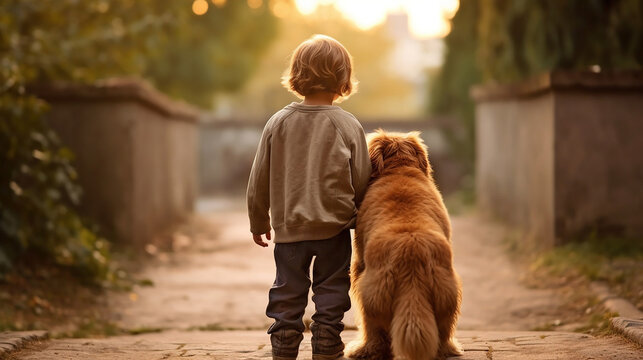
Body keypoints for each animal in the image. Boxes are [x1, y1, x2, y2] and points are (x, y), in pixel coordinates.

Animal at [348, 130, 462, 360]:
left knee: (374, 332)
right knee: (443, 333)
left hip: (367, 294)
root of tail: (411, 255)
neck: (399, 168)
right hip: (448, 295)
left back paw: (361, 349)